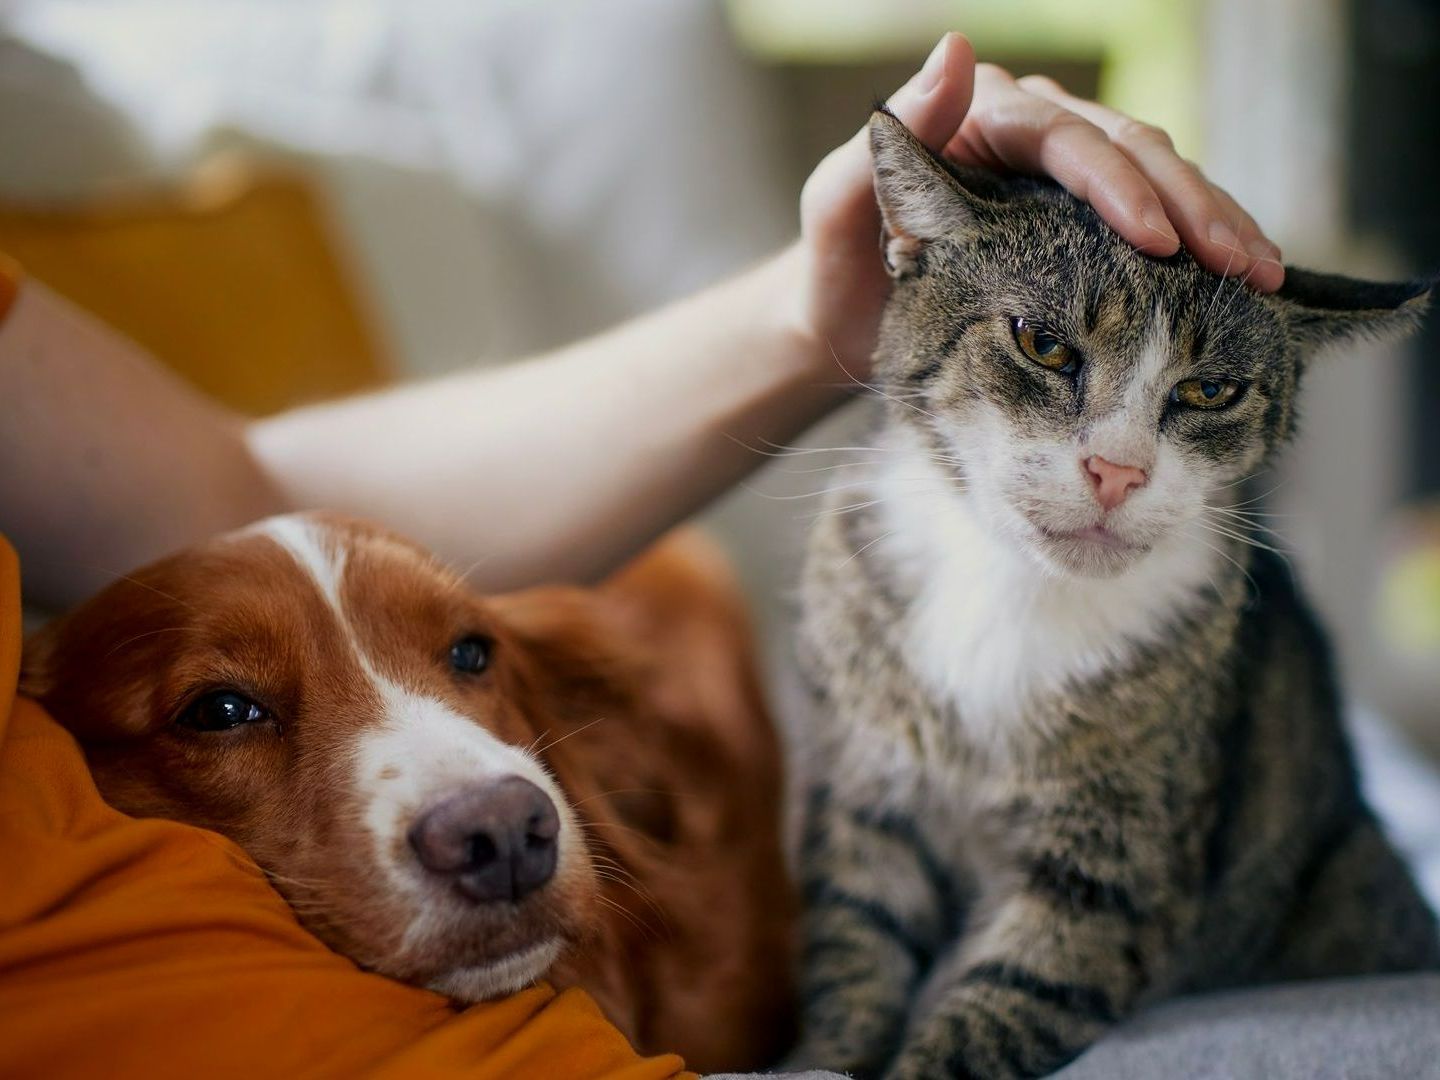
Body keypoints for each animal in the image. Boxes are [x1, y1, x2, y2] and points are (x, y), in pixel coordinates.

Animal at [789, 108, 1440, 1080]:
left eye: (1210, 389)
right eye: (1043, 343)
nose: (1118, 471)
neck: (1015, 590)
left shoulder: (1112, 863)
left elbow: (1008, 998)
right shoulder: (866, 800)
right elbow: (853, 950)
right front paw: (821, 1053)